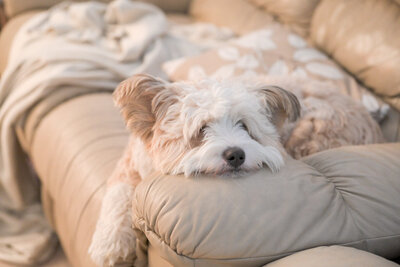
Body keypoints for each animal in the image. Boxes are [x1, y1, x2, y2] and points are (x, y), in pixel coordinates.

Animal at [88, 73, 384, 266]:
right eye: (202, 129)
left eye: (244, 126)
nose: (236, 154)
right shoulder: (128, 168)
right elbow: (118, 197)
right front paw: (109, 246)